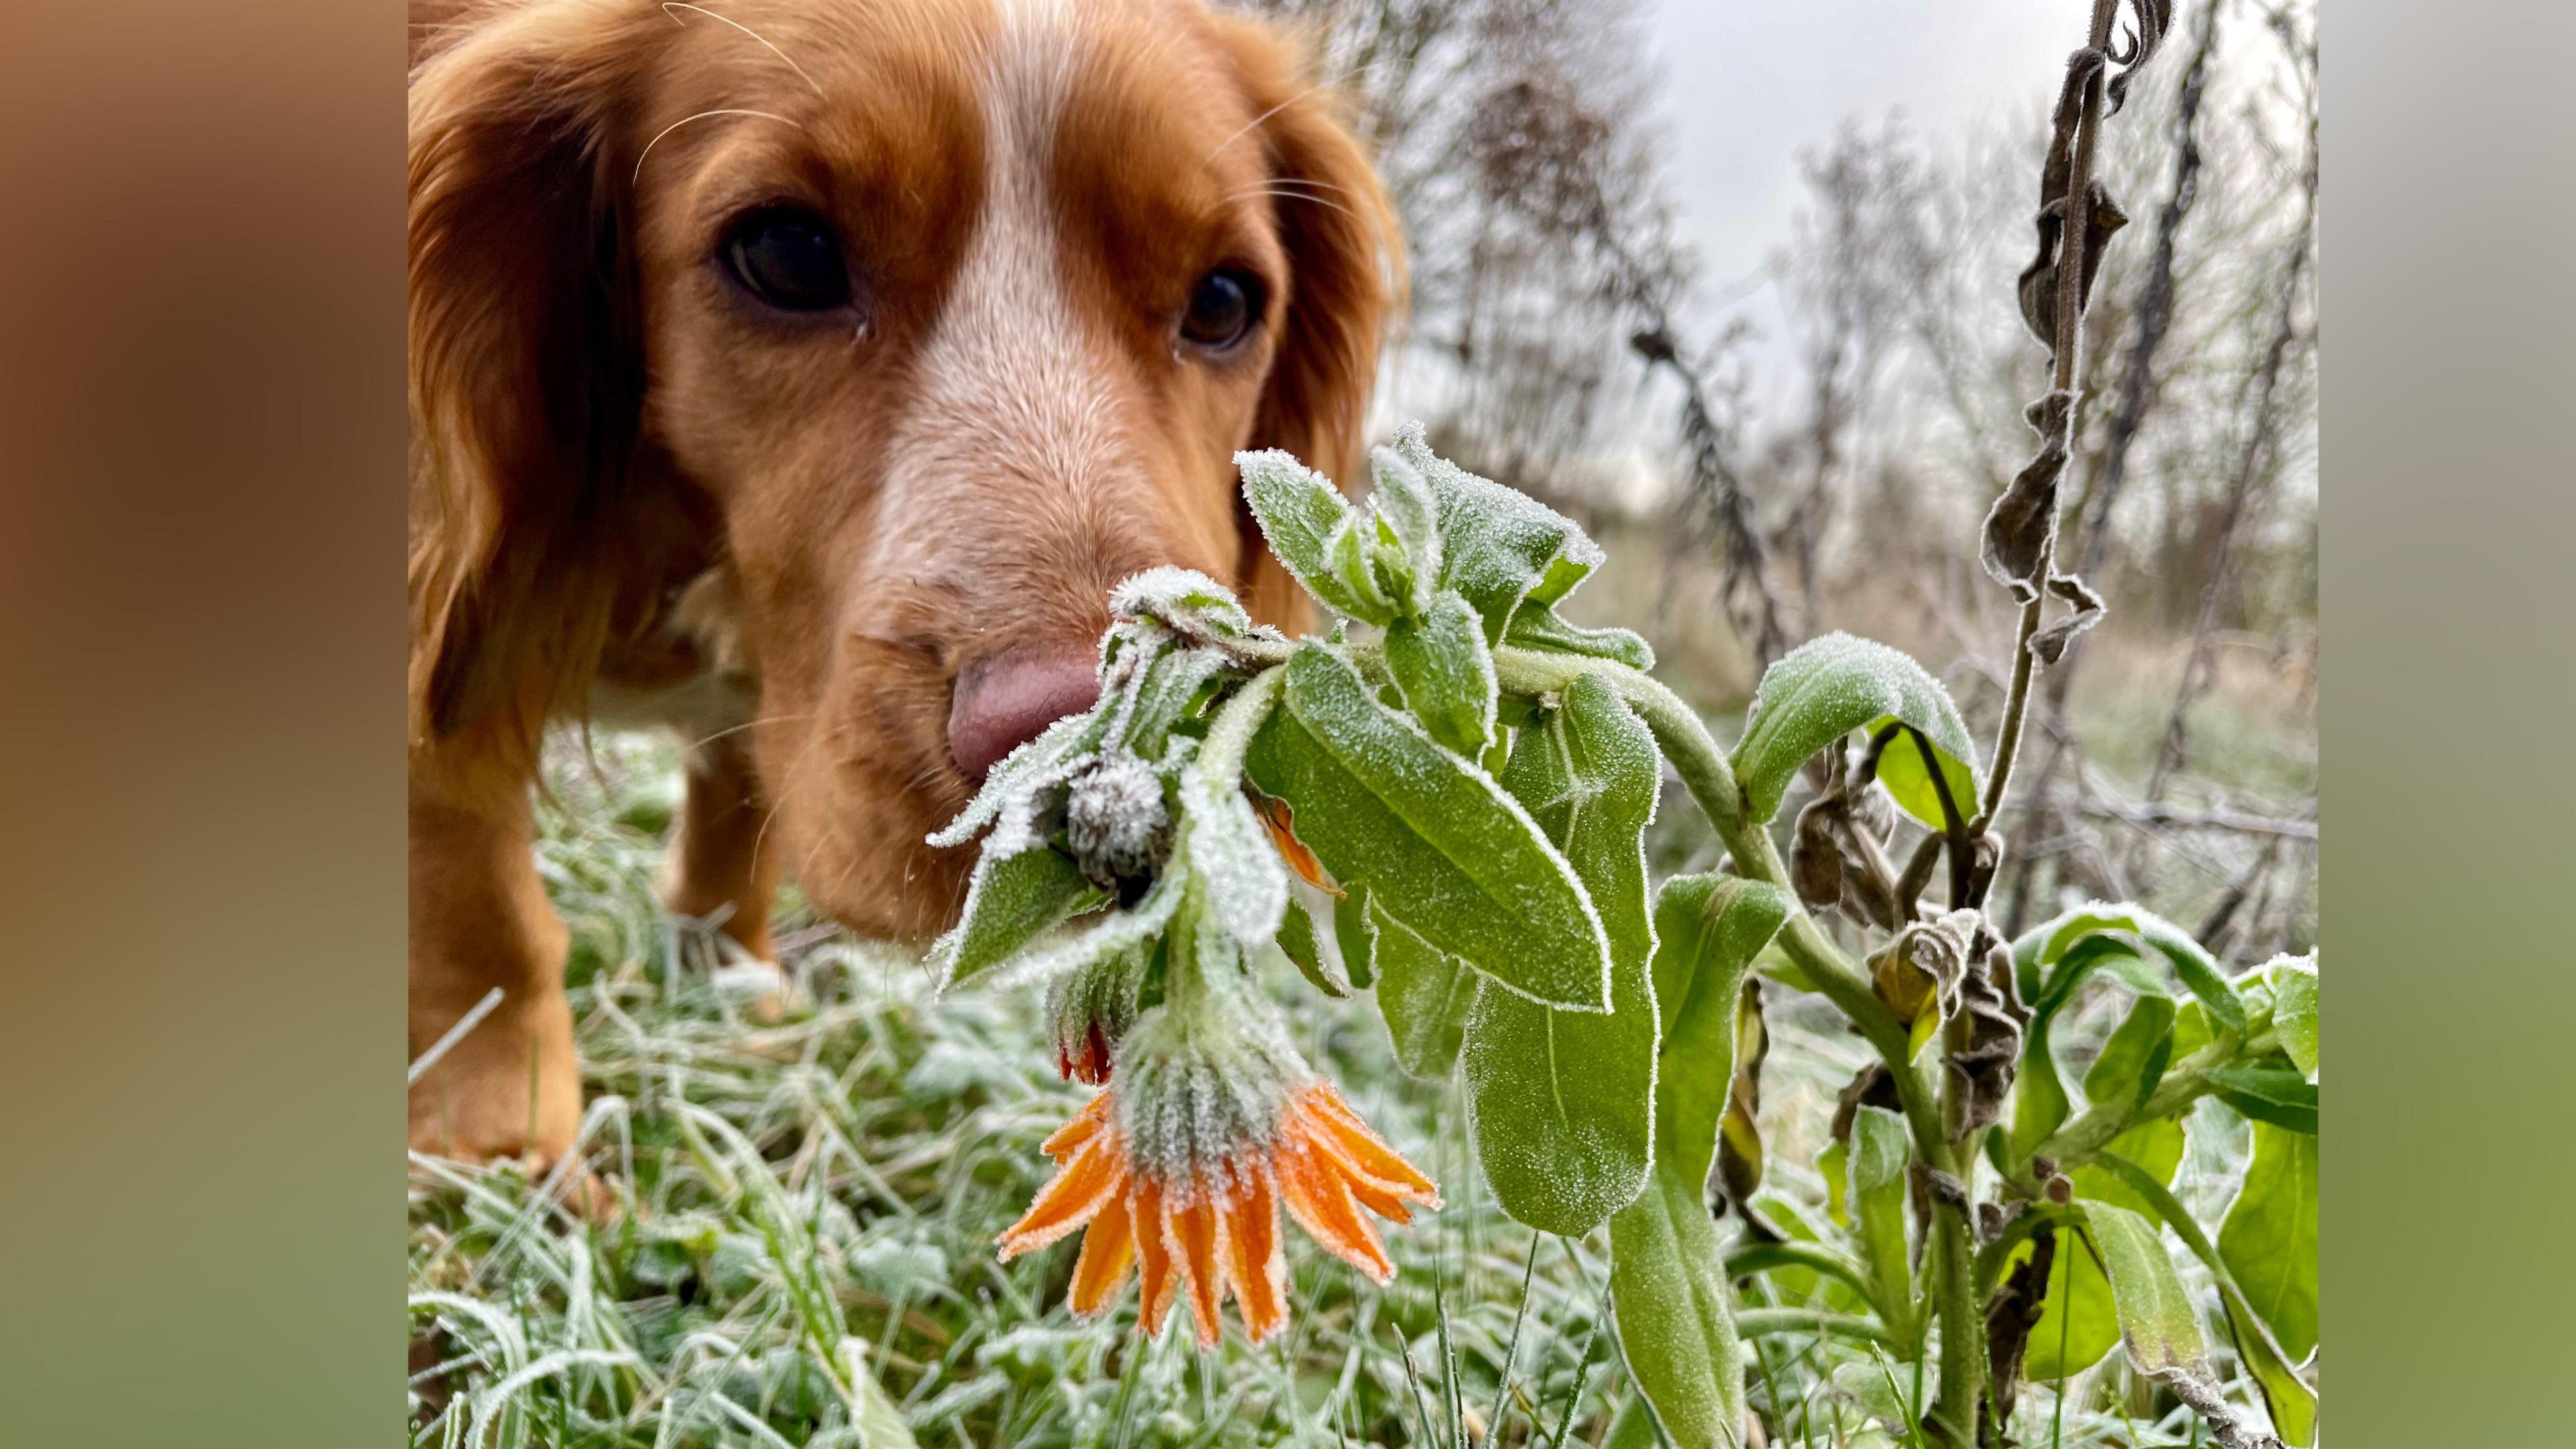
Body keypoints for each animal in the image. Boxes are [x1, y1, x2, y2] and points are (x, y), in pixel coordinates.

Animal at [409, 0, 1401, 1160]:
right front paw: (507, 1146)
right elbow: (488, 918)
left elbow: (735, 837)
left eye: (1222, 301)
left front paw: (734, 998)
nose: (1113, 756)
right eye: (787, 253)